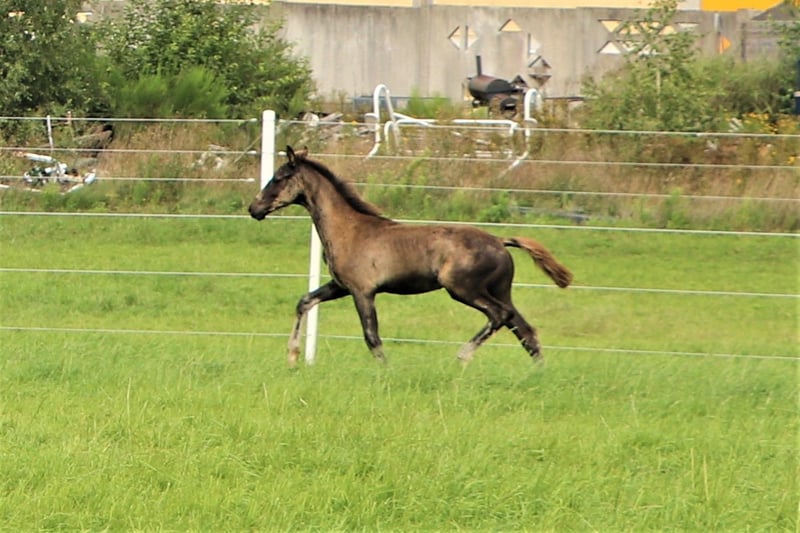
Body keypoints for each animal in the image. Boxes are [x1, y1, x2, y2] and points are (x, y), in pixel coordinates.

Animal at [248, 146, 572, 367]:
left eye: (278, 178)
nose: (254, 209)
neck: (349, 229)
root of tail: (500, 241)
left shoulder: (362, 291)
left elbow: (372, 336)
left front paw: (387, 371)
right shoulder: (341, 286)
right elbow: (304, 301)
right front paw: (292, 357)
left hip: (463, 288)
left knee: (500, 316)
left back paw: (461, 357)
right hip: (501, 289)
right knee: (525, 330)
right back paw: (538, 374)